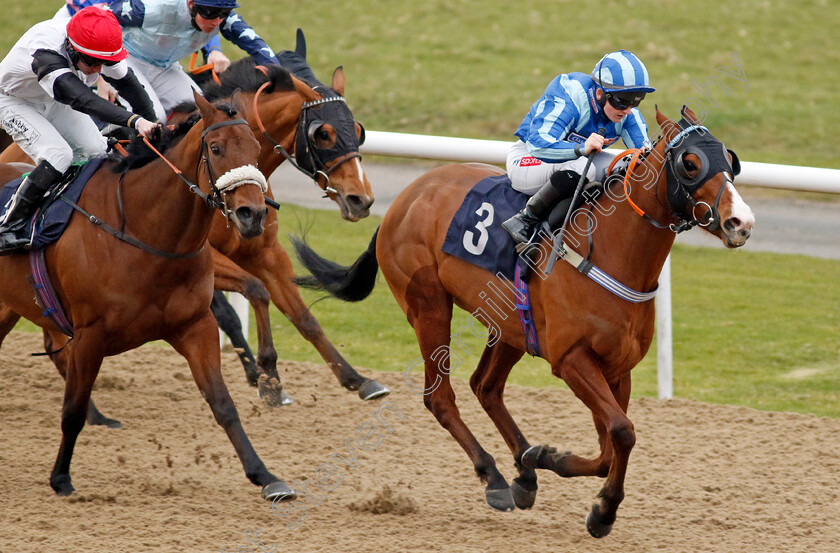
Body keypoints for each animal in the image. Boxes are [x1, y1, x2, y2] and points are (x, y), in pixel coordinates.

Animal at [0, 91, 296, 500]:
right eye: (216, 148)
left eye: (255, 148)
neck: (146, 232)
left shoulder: (195, 326)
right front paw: (60, 477)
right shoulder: (91, 333)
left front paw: (266, 476)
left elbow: (223, 404)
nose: (252, 214)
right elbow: (72, 409)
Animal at [290, 106, 756, 536]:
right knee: (440, 397)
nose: (741, 223)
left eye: (730, 160)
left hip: (510, 326)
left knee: (485, 386)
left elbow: (611, 443)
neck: (609, 252)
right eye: (690, 163)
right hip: (428, 305)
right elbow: (623, 431)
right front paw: (603, 510)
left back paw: (525, 472)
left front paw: (549, 460)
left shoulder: (617, 368)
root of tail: (402, 200)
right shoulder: (571, 360)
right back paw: (494, 477)